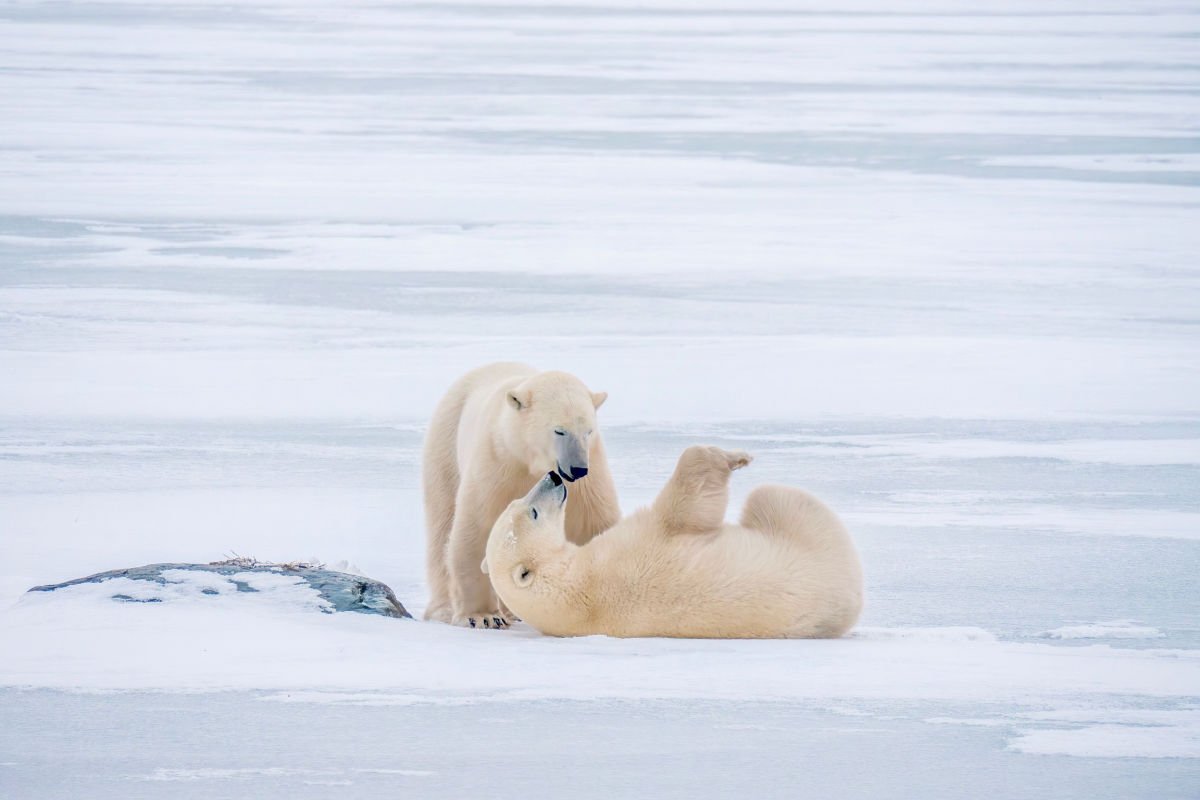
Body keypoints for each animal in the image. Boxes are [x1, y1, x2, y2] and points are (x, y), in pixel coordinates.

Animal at [420, 362, 619, 633]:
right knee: (442, 522)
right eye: (559, 431)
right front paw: (482, 616)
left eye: (588, 431)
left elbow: (594, 524)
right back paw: (443, 609)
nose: (578, 469)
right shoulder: (497, 461)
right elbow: (477, 527)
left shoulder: (590, 475)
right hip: (446, 442)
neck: (529, 457)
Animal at [477, 443, 864, 638]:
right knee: (772, 496)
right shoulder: (632, 548)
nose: (554, 477)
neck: (575, 594)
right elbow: (686, 506)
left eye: (518, 503)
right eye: (533, 513)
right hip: (811, 532)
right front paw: (734, 457)